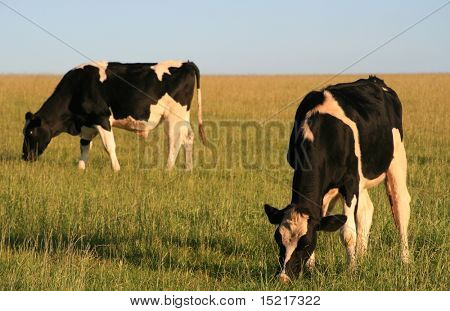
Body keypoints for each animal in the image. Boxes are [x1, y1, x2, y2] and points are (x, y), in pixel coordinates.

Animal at [21, 59, 204, 172]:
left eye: (30, 132)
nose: (24, 156)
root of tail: (185, 63)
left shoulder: (102, 119)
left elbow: (109, 146)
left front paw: (116, 169)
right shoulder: (87, 123)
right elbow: (84, 146)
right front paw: (80, 168)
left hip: (174, 116)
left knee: (175, 141)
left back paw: (168, 169)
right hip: (182, 117)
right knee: (188, 137)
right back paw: (188, 168)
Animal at [264, 77, 412, 284]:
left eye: (305, 242)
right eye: (278, 239)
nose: (284, 277)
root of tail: (374, 80)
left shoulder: (349, 183)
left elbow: (348, 233)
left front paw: (351, 271)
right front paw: (311, 269)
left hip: (396, 159)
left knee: (400, 208)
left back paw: (405, 259)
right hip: (360, 180)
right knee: (366, 211)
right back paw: (362, 256)